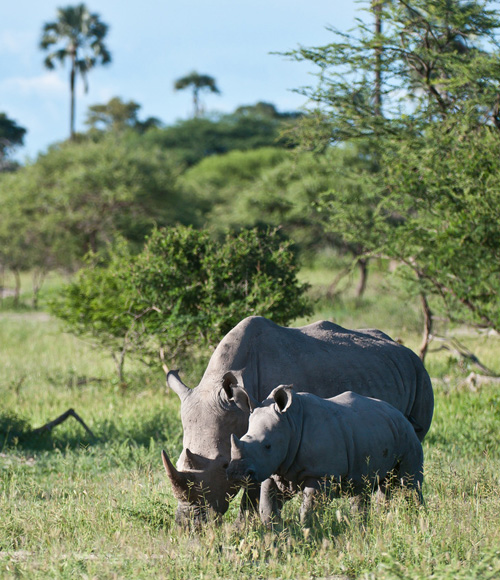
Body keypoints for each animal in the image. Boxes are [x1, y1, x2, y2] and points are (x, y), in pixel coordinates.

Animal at [227, 386, 422, 524]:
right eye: (242, 438)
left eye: (267, 446)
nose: (236, 473)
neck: (291, 423)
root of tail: (399, 413)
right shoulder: (275, 469)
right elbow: (267, 507)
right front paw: (275, 532)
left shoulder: (321, 474)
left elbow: (309, 509)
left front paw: (308, 531)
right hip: (374, 429)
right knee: (367, 487)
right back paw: (368, 524)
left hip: (407, 435)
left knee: (409, 484)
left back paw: (415, 520)